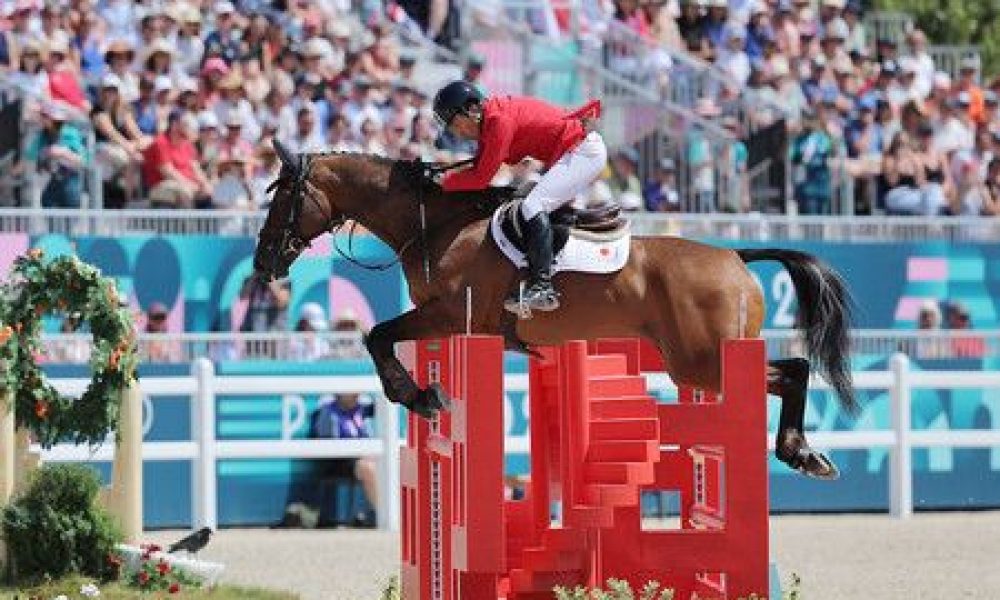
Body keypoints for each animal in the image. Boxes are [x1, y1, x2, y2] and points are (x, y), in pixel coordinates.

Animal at [254, 143, 856, 480]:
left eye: (283, 197)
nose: (263, 263)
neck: (437, 224)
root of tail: (735, 256)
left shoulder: (450, 315)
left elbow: (377, 336)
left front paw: (419, 397)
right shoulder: (442, 319)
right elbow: (380, 340)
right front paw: (422, 395)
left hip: (701, 361)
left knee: (793, 370)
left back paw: (800, 451)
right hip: (701, 360)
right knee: (792, 371)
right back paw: (803, 452)